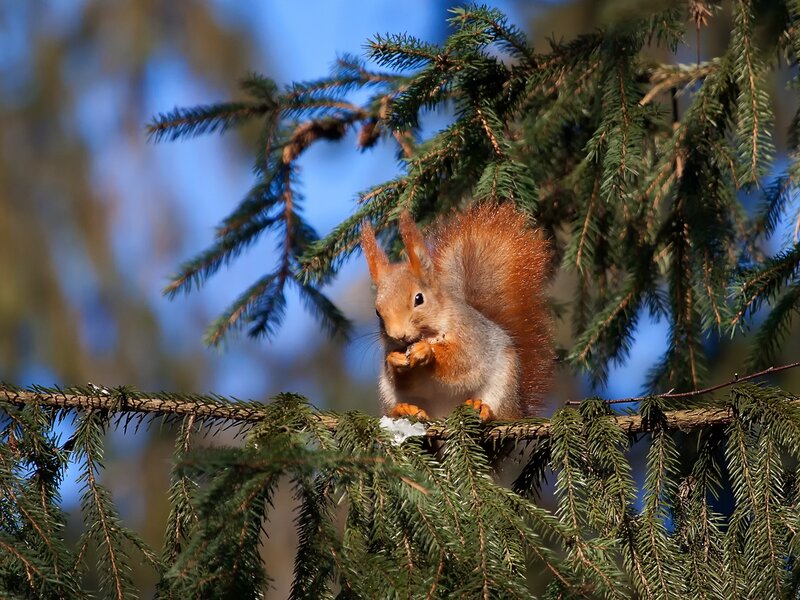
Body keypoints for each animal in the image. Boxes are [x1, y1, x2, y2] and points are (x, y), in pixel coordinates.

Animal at [360, 202, 554, 421]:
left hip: (503, 384)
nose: (398, 335)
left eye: (419, 299)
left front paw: (426, 351)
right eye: (377, 311)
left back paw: (482, 408)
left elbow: (460, 362)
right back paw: (403, 409)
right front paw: (395, 360)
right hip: (388, 395)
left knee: (499, 412)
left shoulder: (470, 337)